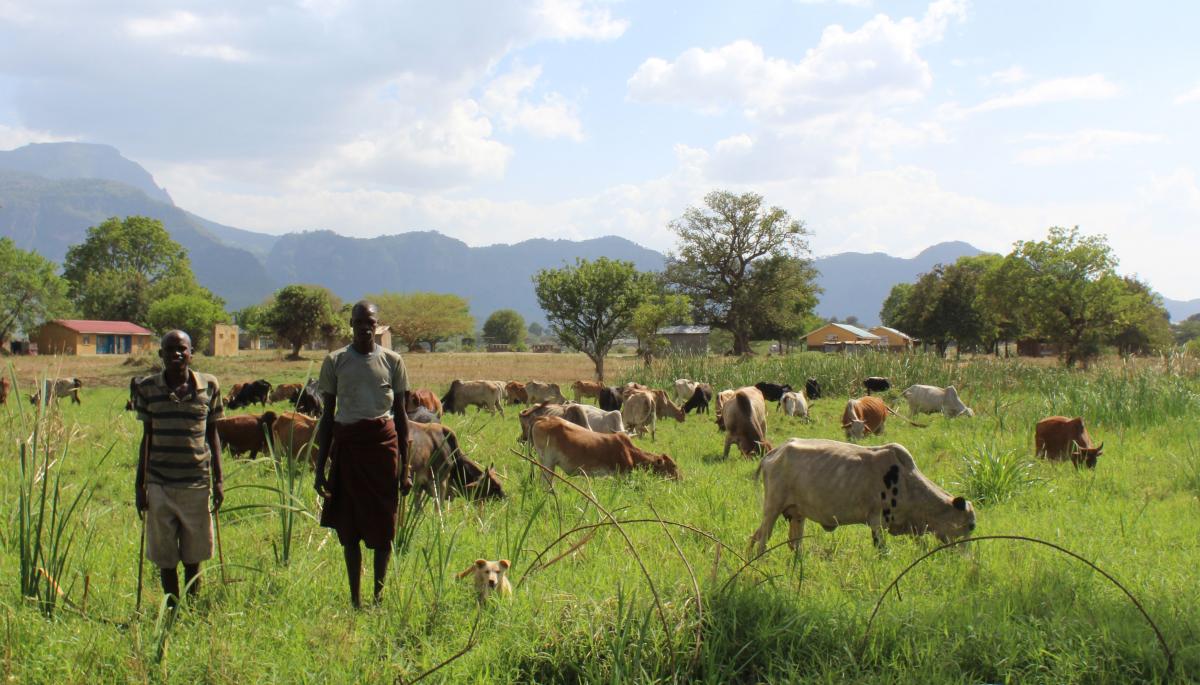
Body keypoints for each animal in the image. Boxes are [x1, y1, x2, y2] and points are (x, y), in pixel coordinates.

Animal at [530, 415, 681, 484]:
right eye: (674, 465)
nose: (681, 478)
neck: (629, 451)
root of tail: (542, 418)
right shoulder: (621, 475)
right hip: (548, 463)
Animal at [748, 439, 974, 556]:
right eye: (970, 526)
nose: (966, 558)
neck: (908, 481)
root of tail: (773, 453)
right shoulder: (877, 521)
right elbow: (882, 551)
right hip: (772, 509)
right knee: (762, 541)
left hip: (797, 514)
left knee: (786, 543)